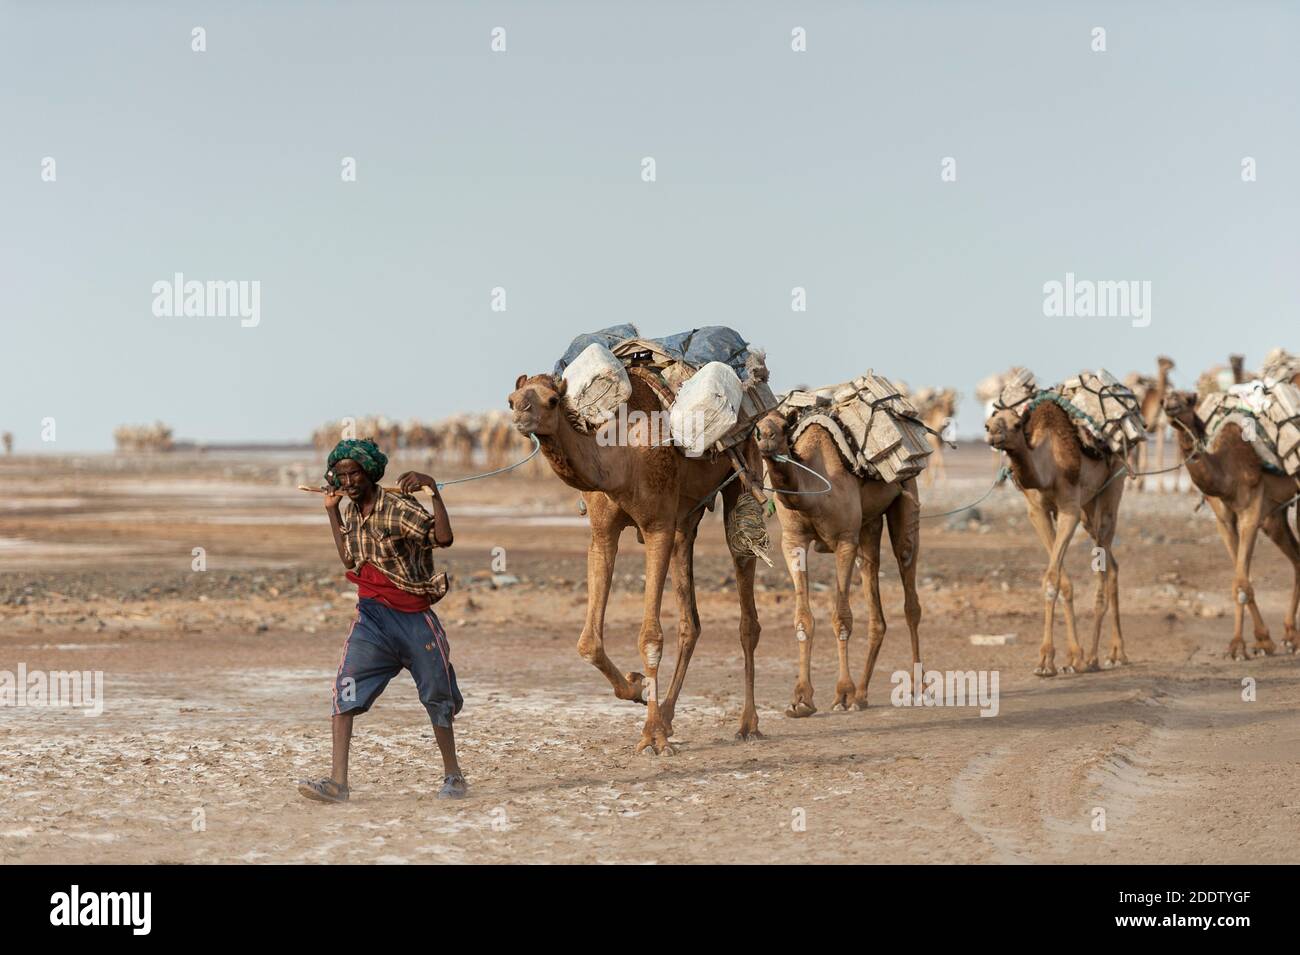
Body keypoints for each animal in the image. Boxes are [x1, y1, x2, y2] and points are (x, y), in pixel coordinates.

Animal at [508, 369, 763, 754]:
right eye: (511, 399)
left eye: (552, 400)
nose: (521, 416)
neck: (620, 457)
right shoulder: (603, 533)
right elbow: (588, 643)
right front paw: (636, 687)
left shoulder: (657, 525)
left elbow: (650, 637)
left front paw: (653, 737)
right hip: (686, 518)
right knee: (690, 622)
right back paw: (668, 716)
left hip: (743, 474)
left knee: (745, 598)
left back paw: (747, 724)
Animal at [755, 410, 922, 715]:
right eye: (755, 427)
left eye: (784, 426)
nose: (766, 438)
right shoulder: (793, 540)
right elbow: (803, 618)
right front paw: (801, 699)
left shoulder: (844, 540)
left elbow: (841, 617)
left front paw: (843, 694)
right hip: (868, 525)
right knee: (872, 585)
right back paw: (862, 694)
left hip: (907, 496)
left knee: (910, 591)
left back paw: (917, 687)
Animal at [985, 395, 1131, 675]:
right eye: (988, 423)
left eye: (1017, 424)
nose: (993, 434)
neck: (1049, 467)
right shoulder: (1037, 512)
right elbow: (1062, 581)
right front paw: (1071, 658)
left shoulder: (1069, 510)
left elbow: (1052, 579)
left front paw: (1046, 661)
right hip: (1087, 511)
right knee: (1114, 565)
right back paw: (1109, 654)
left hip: (1112, 488)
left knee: (1105, 566)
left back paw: (1102, 656)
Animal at [1163, 390, 1300, 658]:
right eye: (1165, 398)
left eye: (1189, 399)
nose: (1170, 405)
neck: (1225, 471)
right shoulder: (1224, 519)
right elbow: (1241, 580)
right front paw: (1256, 642)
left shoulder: (1251, 511)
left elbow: (1242, 582)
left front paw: (1245, 644)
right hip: (1275, 517)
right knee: (1297, 558)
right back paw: (1291, 637)